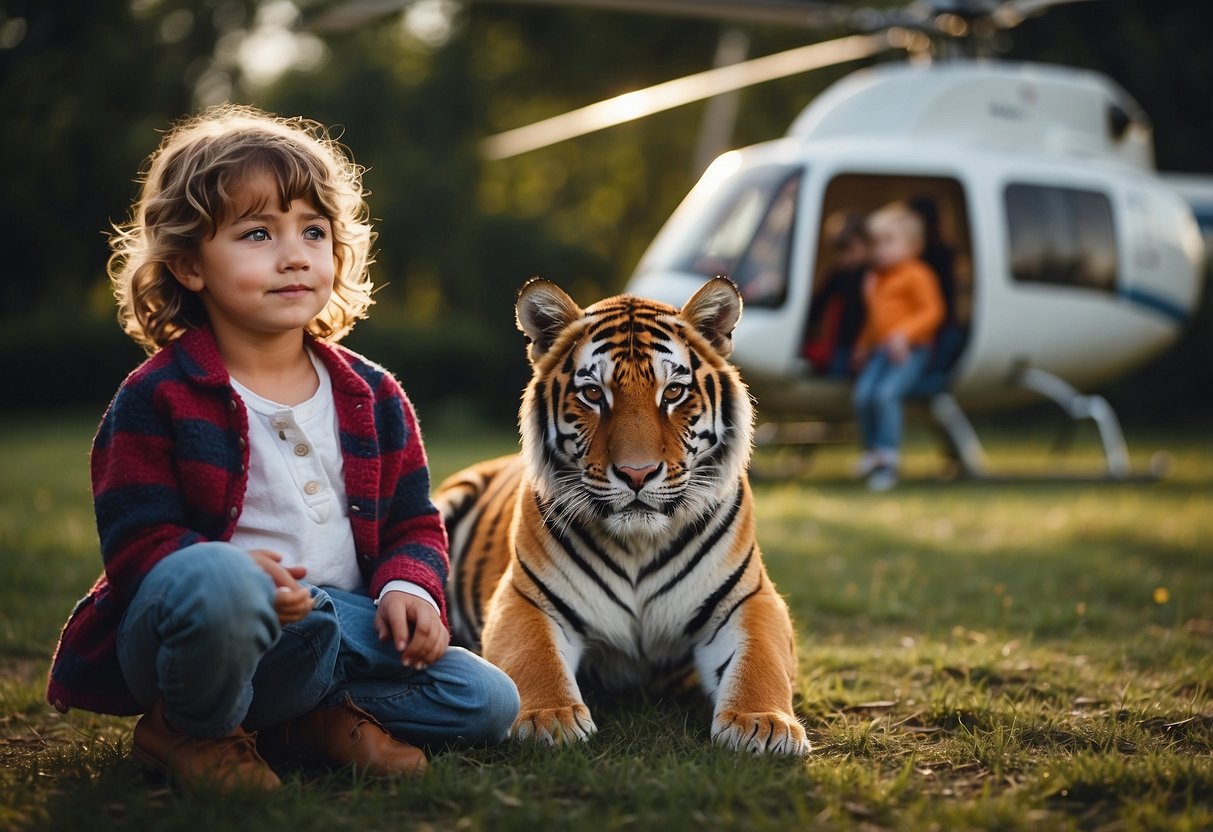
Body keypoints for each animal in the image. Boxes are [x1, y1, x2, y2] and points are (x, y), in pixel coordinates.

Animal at [434, 278, 805, 756]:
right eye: (593, 394)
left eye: (673, 393)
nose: (637, 473)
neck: (639, 544)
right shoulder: (526, 597)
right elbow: (533, 656)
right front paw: (549, 718)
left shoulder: (746, 598)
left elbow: (760, 660)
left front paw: (761, 724)